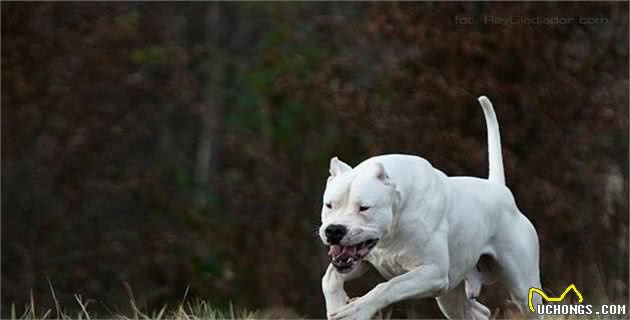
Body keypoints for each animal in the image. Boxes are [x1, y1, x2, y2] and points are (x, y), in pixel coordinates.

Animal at [320, 97, 544, 320]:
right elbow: (329, 278)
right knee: (479, 311)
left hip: (523, 288)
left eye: (364, 208)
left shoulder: (432, 273)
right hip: (450, 296)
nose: (334, 230)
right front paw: (336, 304)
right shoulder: (359, 262)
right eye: (329, 205)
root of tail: (500, 189)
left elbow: (388, 287)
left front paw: (357, 311)